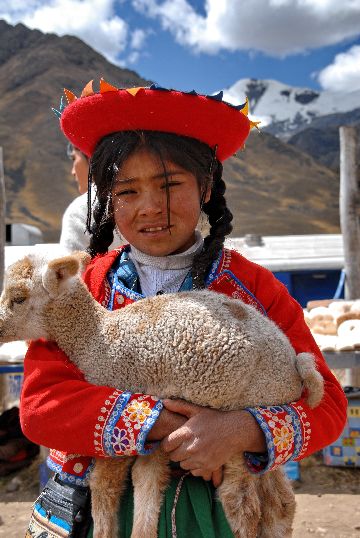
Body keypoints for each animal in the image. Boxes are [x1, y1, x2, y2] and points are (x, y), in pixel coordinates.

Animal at [0, 251, 324, 536]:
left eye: (19, 298)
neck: (97, 338)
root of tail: (296, 367)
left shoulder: (123, 395)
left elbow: (105, 486)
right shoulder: (151, 423)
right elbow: (147, 480)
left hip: (236, 422)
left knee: (242, 504)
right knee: (280, 502)